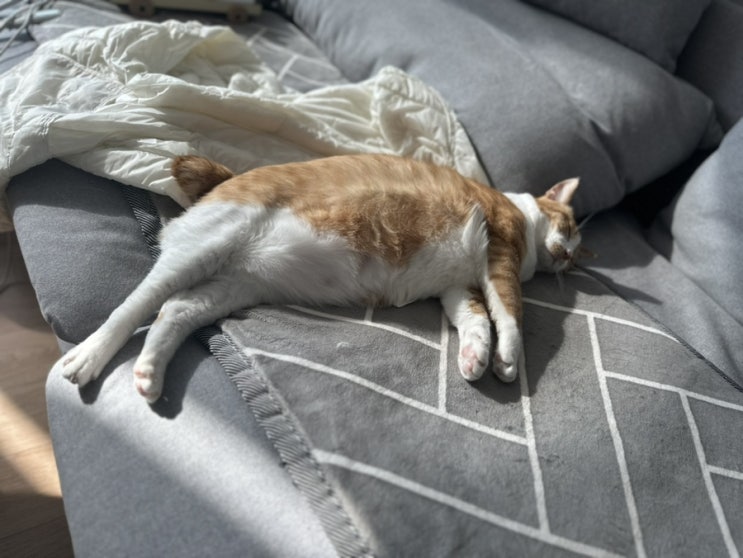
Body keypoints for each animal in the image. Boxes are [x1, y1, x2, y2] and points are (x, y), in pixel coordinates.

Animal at [58, 153, 583, 403]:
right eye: (573, 226)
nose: (573, 260)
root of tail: (226, 177)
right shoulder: (500, 251)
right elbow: (510, 312)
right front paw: (509, 359)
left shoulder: (458, 288)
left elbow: (474, 319)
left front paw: (475, 357)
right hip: (201, 249)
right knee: (134, 307)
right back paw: (87, 358)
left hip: (236, 284)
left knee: (175, 310)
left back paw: (149, 374)